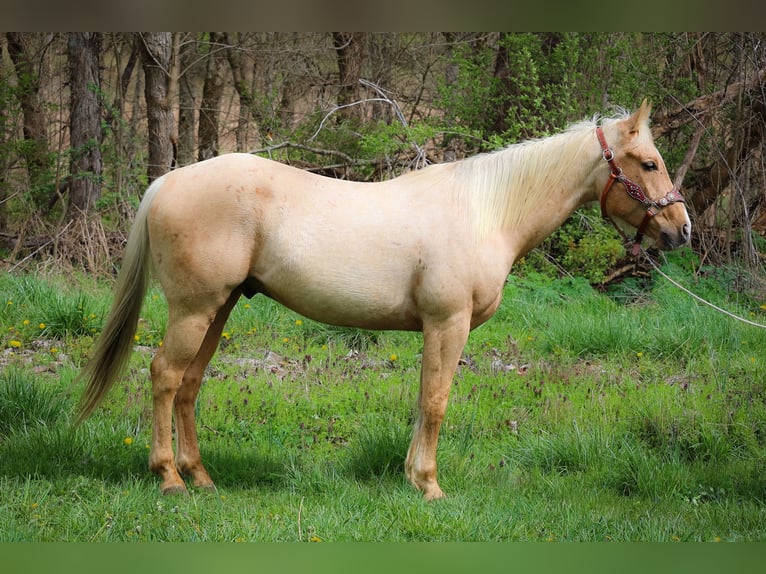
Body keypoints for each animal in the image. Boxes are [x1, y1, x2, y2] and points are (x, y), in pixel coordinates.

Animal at [76, 101, 688, 502]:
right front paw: (430, 486)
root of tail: (166, 182)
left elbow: (421, 401)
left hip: (219, 308)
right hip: (194, 309)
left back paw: (200, 476)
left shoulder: (437, 329)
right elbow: (437, 402)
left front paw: (412, 475)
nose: (681, 229)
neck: (484, 212)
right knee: (164, 375)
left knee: (189, 383)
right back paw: (169, 478)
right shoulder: (448, 323)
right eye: (649, 163)